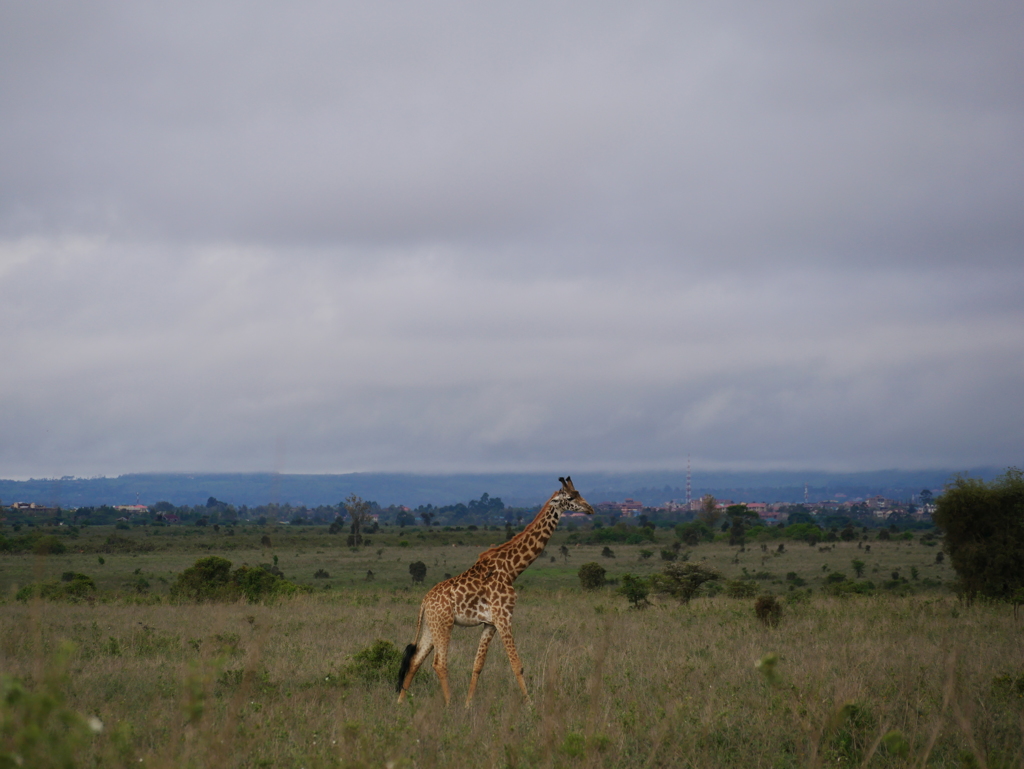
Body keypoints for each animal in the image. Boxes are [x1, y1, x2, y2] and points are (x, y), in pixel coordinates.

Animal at [397, 479, 598, 708]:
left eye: (579, 492)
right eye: (571, 497)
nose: (590, 509)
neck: (511, 570)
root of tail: (424, 601)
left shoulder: (490, 623)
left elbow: (478, 665)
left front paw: (468, 705)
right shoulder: (504, 617)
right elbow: (516, 664)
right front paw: (530, 705)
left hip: (431, 626)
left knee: (415, 659)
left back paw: (400, 701)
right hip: (444, 624)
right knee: (439, 663)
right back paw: (449, 704)